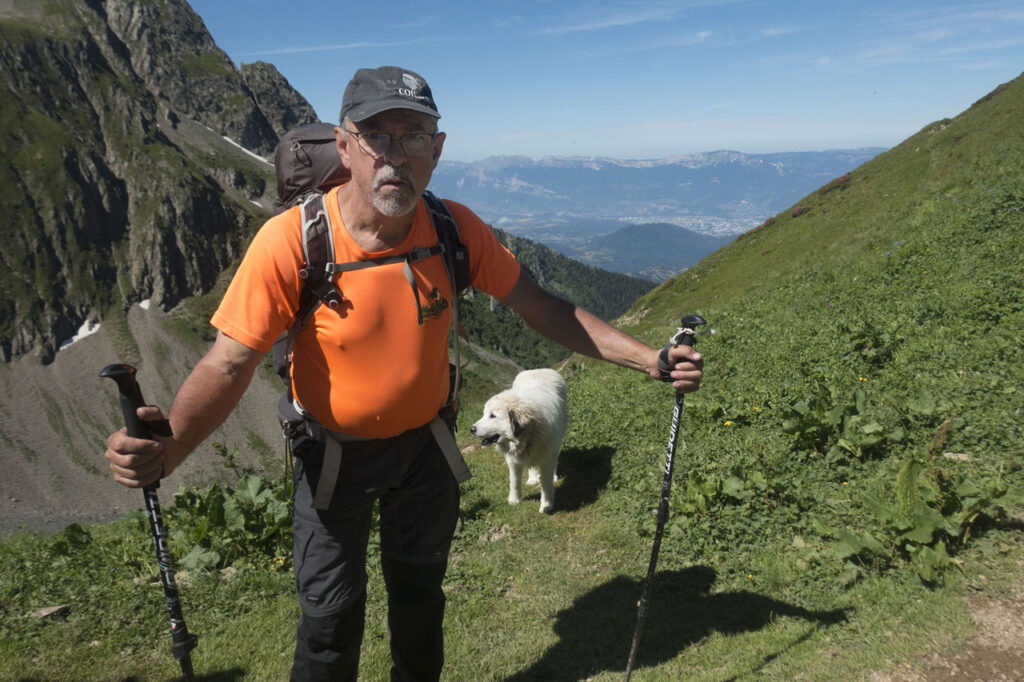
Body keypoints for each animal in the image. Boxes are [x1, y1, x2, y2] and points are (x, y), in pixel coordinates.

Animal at [470, 368, 569, 514]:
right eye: (484, 414)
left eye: (492, 416)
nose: (471, 429)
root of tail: (538, 369)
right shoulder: (513, 460)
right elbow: (514, 481)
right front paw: (514, 500)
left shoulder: (547, 457)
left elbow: (546, 483)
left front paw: (546, 505)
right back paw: (533, 479)